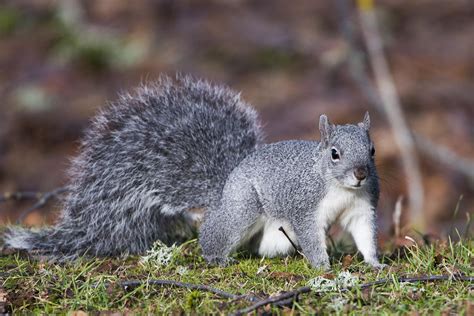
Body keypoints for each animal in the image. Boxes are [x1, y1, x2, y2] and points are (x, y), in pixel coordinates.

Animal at [2, 74, 386, 270]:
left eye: (372, 151)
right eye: (334, 154)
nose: (360, 174)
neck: (342, 189)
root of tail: (225, 186)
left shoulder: (362, 207)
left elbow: (363, 233)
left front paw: (375, 263)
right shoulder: (304, 206)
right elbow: (310, 234)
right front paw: (322, 266)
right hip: (243, 208)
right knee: (214, 234)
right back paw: (216, 256)